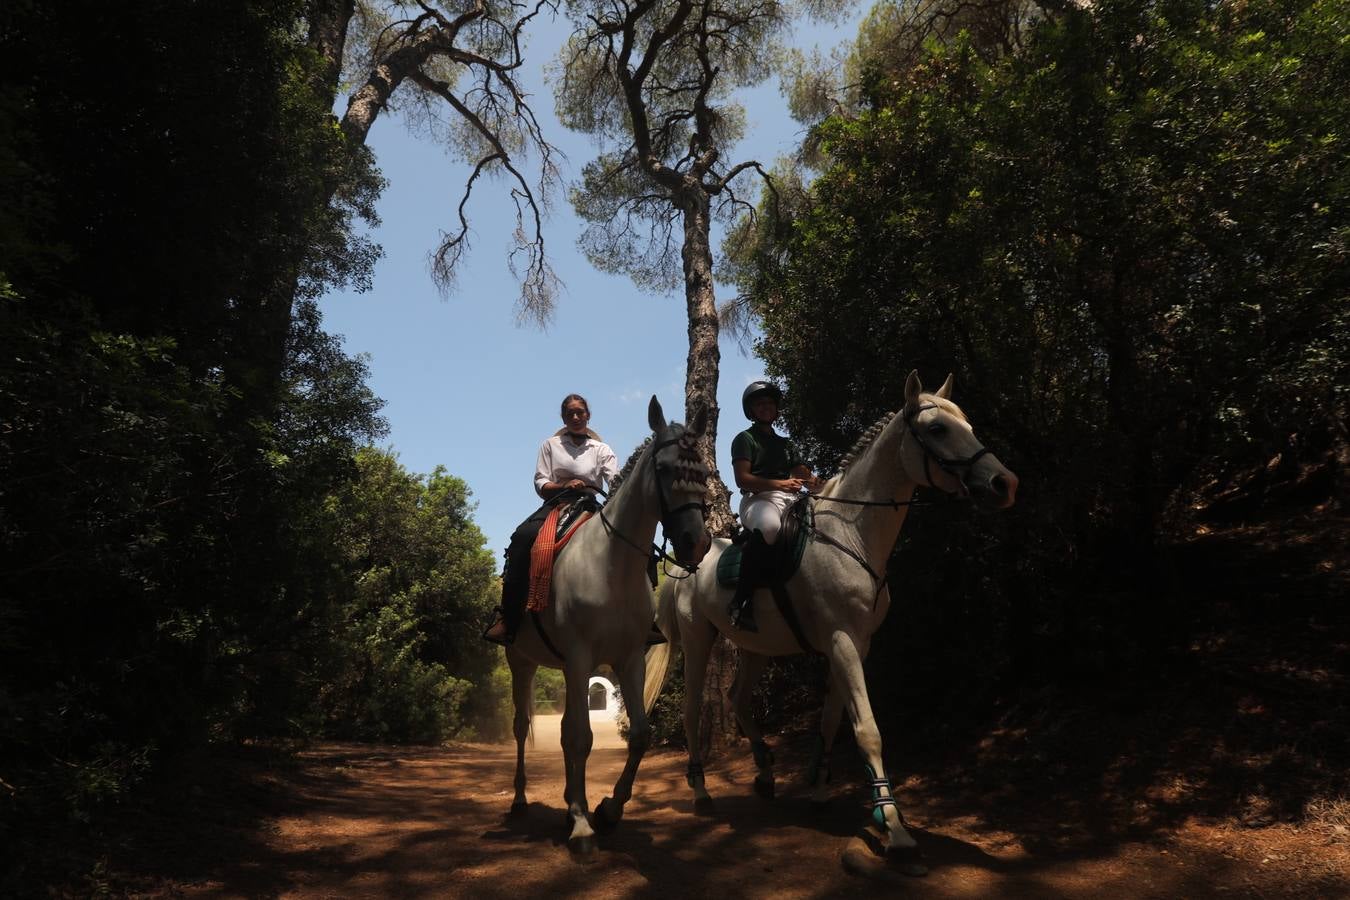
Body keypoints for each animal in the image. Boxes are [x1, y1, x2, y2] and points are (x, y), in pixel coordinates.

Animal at [507, 396, 712, 858]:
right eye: (666, 469)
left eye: (704, 473)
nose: (696, 543)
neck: (610, 566)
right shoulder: (581, 657)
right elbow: (580, 738)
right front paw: (583, 825)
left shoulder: (628, 659)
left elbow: (637, 735)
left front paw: (606, 810)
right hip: (520, 662)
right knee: (523, 728)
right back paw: (520, 799)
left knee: (565, 729)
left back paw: (570, 802)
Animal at [648, 372, 1015, 874]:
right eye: (938, 429)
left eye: (970, 426)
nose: (1003, 483)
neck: (852, 533)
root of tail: (687, 564)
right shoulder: (842, 641)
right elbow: (868, 730)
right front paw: (894, 827)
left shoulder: (856, 644)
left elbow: (831, 720)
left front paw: (822, 789)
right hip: (699, 641)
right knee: (691, 710)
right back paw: (701, 790)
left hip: (756, 648)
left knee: (738, 698)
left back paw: (765, 770)